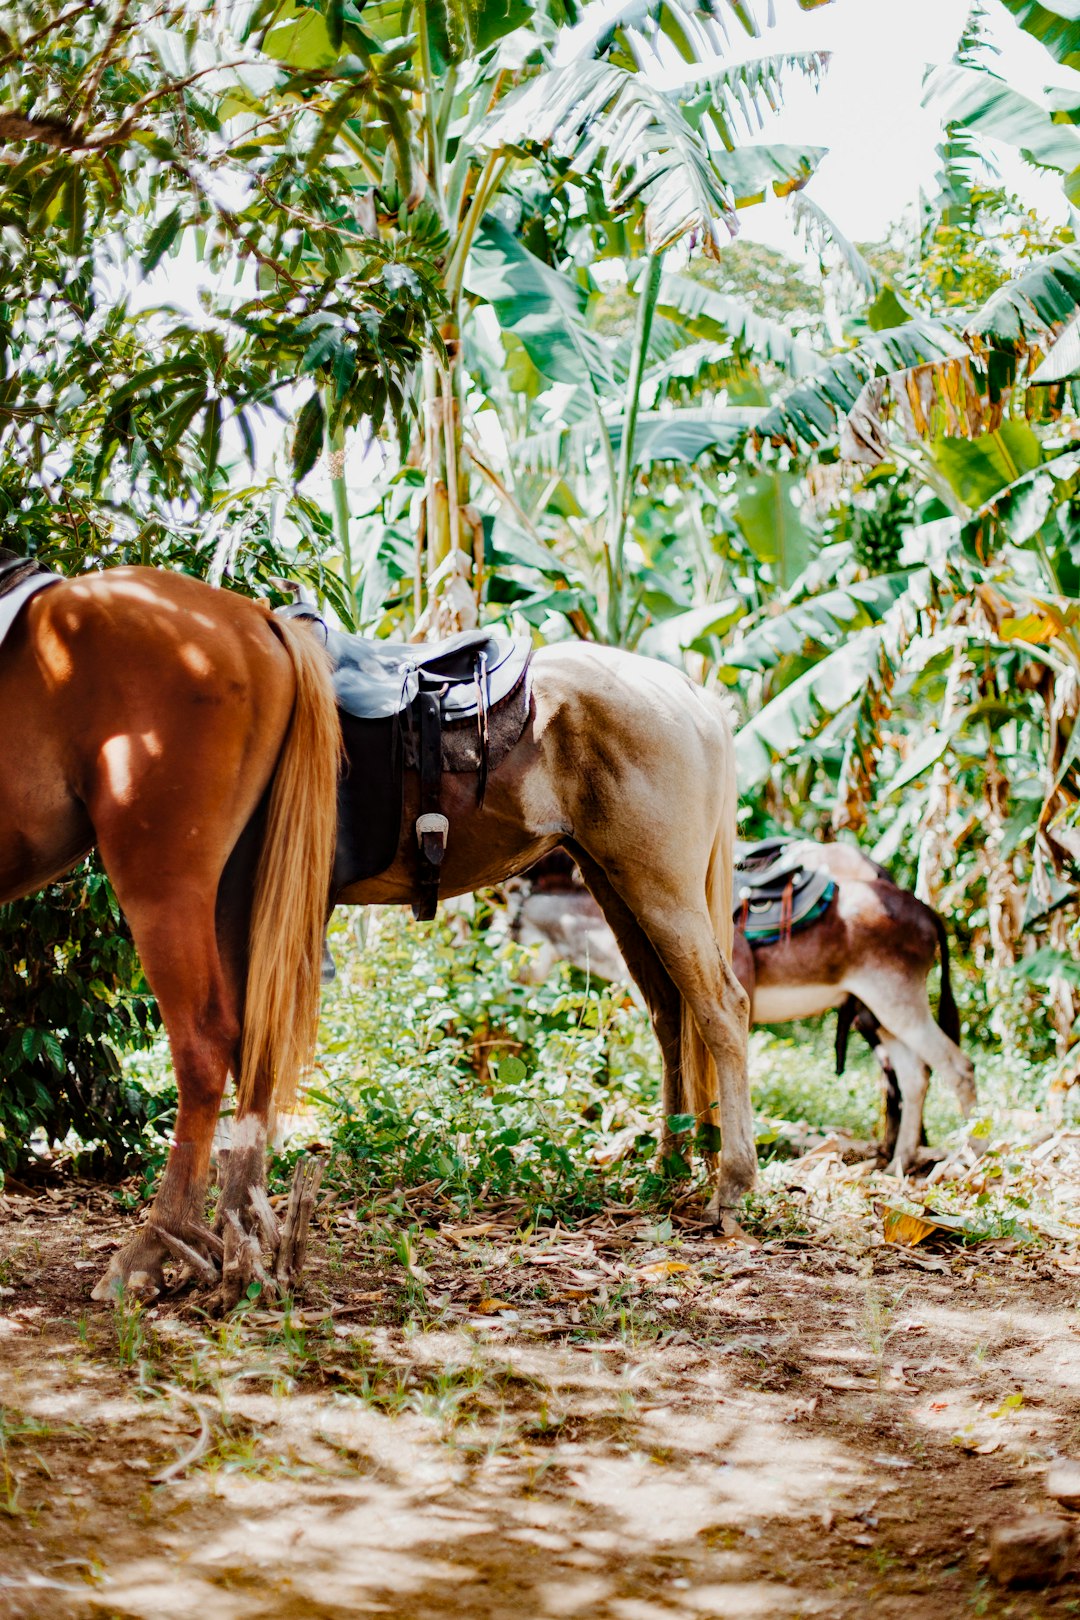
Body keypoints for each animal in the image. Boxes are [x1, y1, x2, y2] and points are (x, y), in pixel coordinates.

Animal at [4, 573, 751, 1302]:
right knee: (670, 1012)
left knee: (722, 1007)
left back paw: (731, 1184)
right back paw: (670, 1164)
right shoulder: (241, 901)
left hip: (659, 883)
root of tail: (693, 699)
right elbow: (253, 1048)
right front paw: (237, 1239)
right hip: (614, 880)